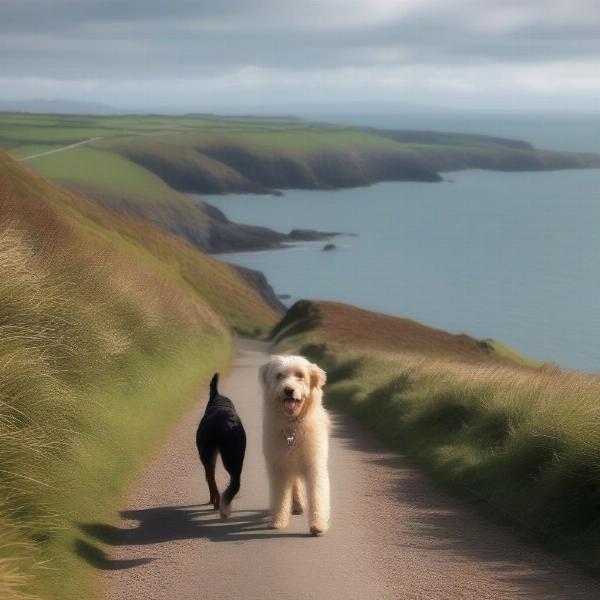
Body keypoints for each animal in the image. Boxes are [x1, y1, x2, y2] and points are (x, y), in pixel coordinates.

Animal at [196, 372, 245, 516]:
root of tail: (228, 424)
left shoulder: (207, 459)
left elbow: (211, 482)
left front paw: (213, 501)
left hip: (224, 457)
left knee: (226, 482)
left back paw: (220, 504)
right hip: (236, 457)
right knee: (235, 482)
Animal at [260, 354, 330, 536]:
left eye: (300, 375)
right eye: (279, 376)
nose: (288, 390)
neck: (293, 429)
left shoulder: (314, 463)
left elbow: (317, 494)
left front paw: (318, 524)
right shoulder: (279, 466)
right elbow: (280, 496)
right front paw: (278, 521)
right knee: (294, 485)